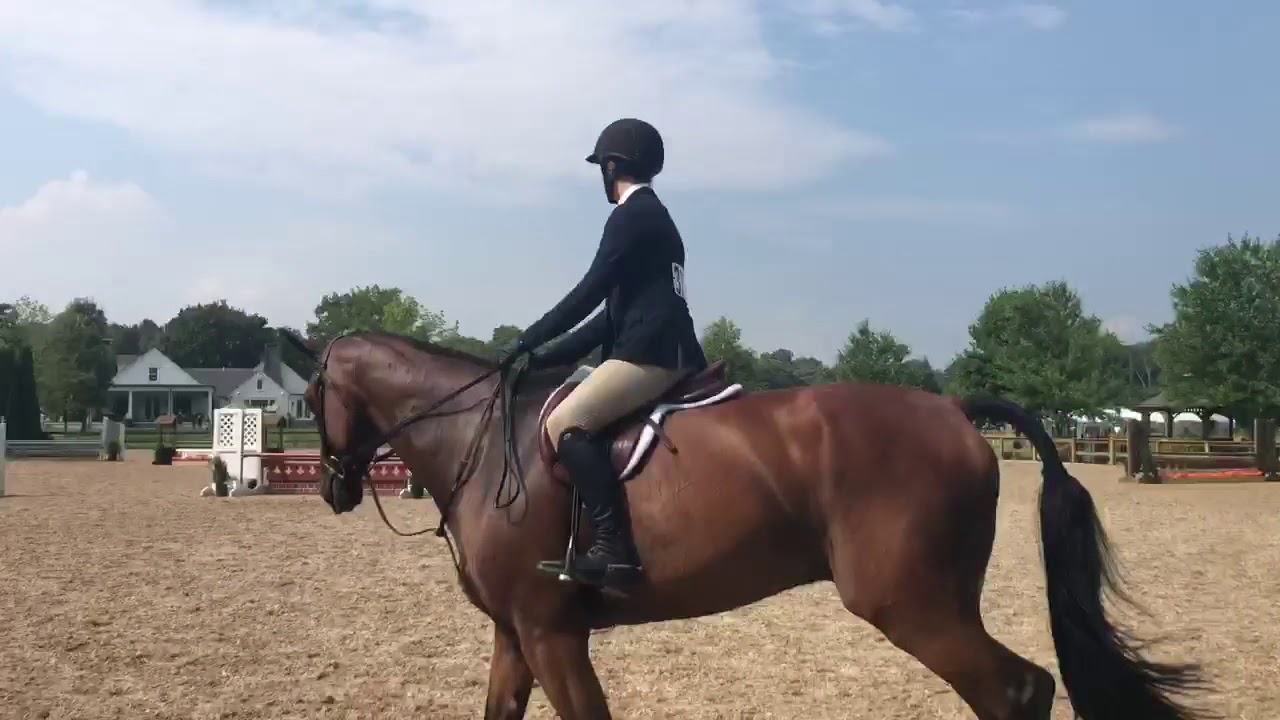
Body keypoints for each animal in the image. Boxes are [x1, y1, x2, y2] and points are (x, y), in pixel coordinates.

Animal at [287, 330, 1211, 720]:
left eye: (312, 391)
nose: (333, 489)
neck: (483, 444)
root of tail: (952, 409)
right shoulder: (517, 634)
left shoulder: (552, 633)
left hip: (909, 605)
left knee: (1016, 691)